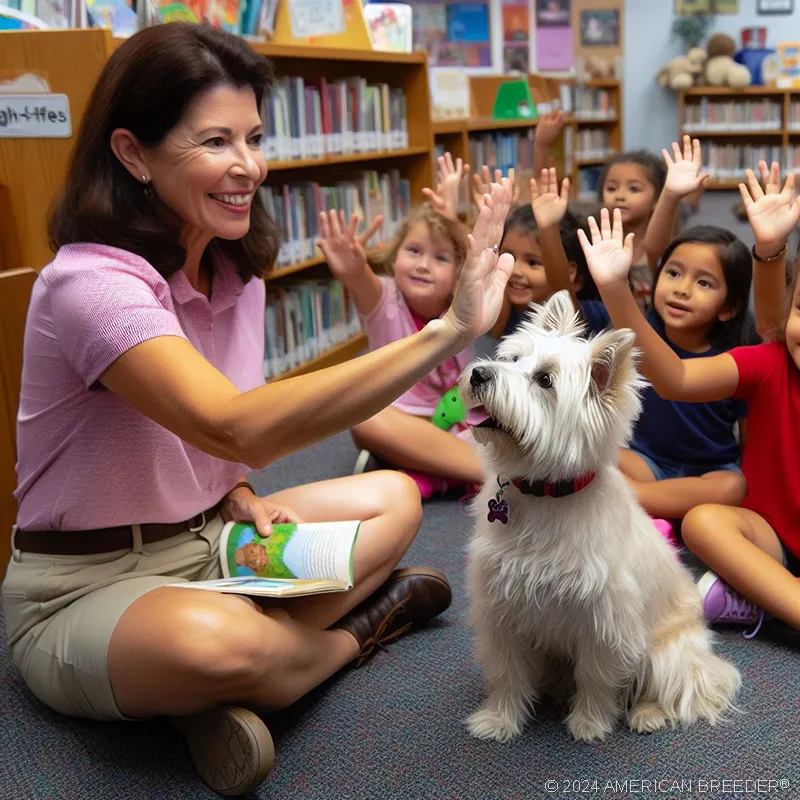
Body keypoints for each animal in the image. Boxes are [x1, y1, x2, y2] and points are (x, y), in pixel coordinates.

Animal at [460, 292, 740, 744]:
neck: (545, 493)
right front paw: (498, 720)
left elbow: (596, 678)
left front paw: (589, 724)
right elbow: (507, 673)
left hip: (668, 653)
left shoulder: (605, 621)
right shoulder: (503, 610)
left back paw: (647, 714)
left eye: (545, 380)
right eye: (514, 358)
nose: (479, 372)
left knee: (665, 687)